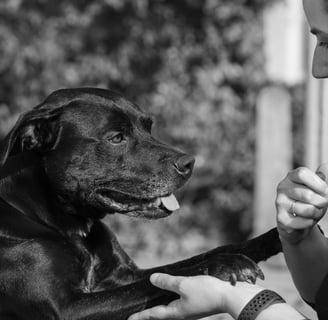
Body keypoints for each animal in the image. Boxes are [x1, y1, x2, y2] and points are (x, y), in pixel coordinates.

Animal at [0, 89, 282, 320]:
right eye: (116, 137)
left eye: (149, 127)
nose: (189, 163)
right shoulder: (66, 308)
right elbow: (174, 275)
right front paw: (226, 264)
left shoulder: (125, 275)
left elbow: (198, 257)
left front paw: (271, 238)